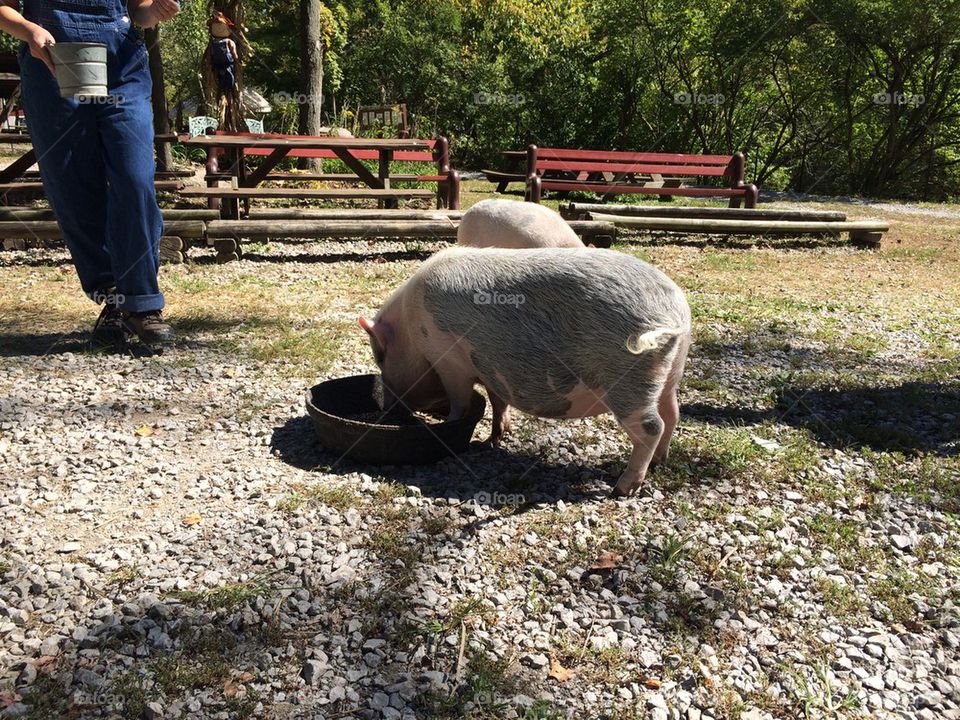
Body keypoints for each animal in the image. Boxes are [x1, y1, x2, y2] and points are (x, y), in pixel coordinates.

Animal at [359, 246, 691, 497]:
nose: (387, 409)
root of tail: (675, 313)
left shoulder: (450, 361)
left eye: (380, 357)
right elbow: (497, 400)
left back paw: (622, 488)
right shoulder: (491, 368)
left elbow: (460, 403)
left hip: (628, 381)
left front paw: (453, 427)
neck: (412, 332)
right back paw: (660, 462)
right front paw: (494, 439)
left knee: (651, 426)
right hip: (670, 374)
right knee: (672, 415)